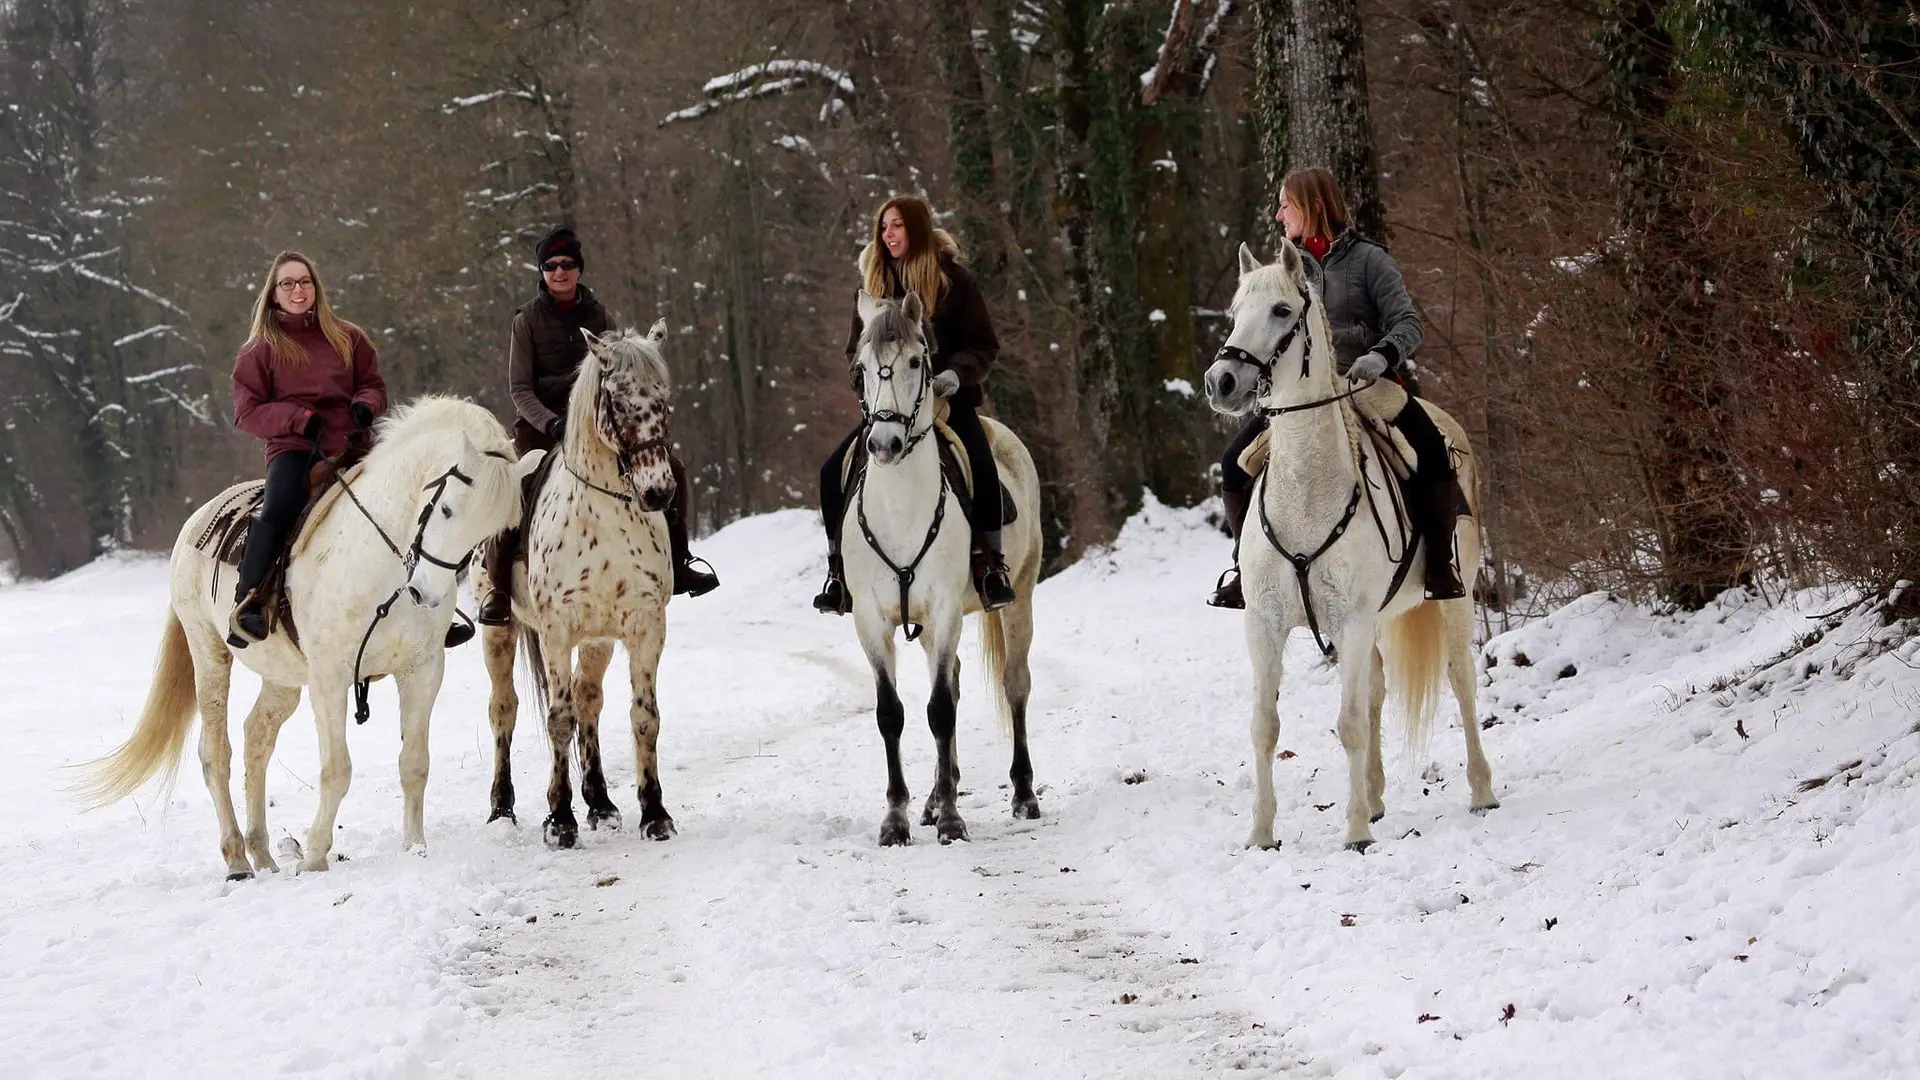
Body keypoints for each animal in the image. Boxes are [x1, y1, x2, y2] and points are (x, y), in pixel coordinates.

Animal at [77, 397, 531, 877]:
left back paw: (262, 853)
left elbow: (414, 763)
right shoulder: (330, 678)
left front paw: (415, 848)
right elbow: (337, 770)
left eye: (489, 531)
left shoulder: (422, 671)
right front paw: (314, 857)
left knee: (257, 737)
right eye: (446, 510)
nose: (426, 593)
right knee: (215, 752)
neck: (378, 559)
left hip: (283, 677)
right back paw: (237, 860)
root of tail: (197, 521)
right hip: (209, 652)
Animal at [479, 321, 682, 850]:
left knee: (589, 700)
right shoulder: (557, 630)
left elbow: (643, 715)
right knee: (504, 708)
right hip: (499, 633)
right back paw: (502, 809)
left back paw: (601, 803)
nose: (658, 492)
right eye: (618, 402)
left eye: (664, 398)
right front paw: (559, 819)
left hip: (597, 640)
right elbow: (558, 718)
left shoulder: (644, 624)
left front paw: (654, 814)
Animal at [840, 291, 1043, 846]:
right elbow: (893, 713)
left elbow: (940, 710)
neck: (900, 510)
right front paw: (897, 819)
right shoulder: (870, 620)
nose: (884, 445)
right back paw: (934, 796)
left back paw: (1023, 794)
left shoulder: (947, 607)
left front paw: (952, 818)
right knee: (949, 680)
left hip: (1020, 595)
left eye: (918, 361)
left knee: (1014, 684)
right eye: (860, 368)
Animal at [1203, 240, 1498, 851]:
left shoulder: (1353, 621)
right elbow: (1265, 726)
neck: (1306, 491)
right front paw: (1262, 833)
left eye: (1282, 311)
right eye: (1236, 312)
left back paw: (1481, 791)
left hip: (1453, 599)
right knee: (1378, 690)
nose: (1221, 381)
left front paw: (1356, 831)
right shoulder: (1264, 624)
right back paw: (1378, 796)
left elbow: (1350, 723)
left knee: (1460, 680)